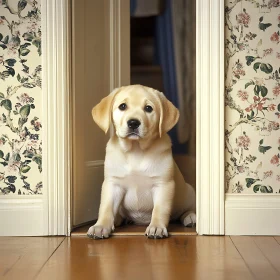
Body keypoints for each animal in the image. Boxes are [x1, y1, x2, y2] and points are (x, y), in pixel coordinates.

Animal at [87, 85, 195, 238]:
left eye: (148, 108)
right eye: (122, 106)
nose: (133, 123)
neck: (136, 150)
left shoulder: (163, 184)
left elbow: (160, 209)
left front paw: (156, 227)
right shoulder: (113, 184)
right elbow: (106, 207)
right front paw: (101, 226)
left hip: (189, 193)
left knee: (187, 209)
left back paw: (190, 217)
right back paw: (119, 219)